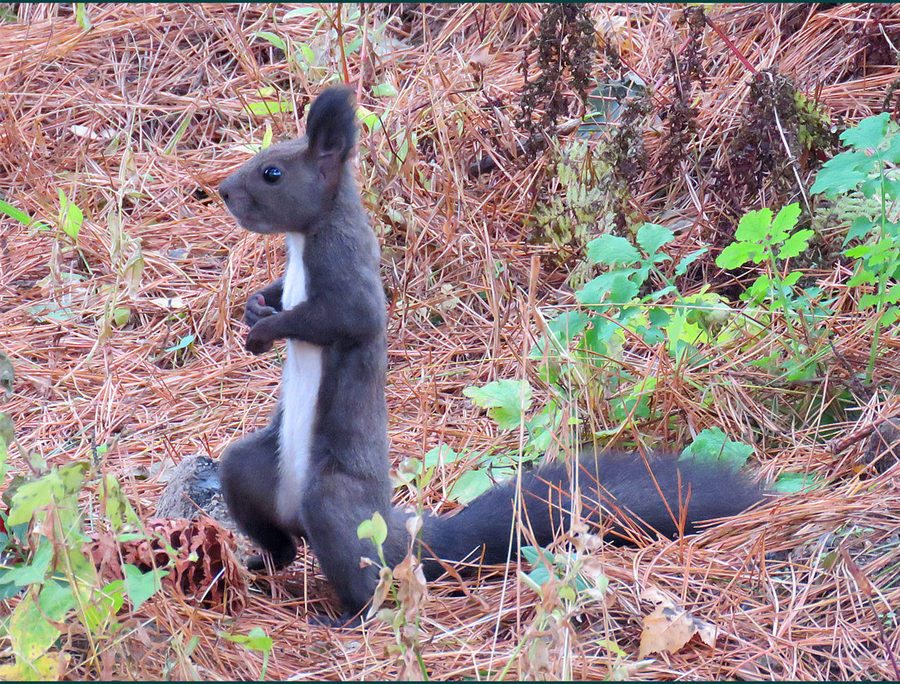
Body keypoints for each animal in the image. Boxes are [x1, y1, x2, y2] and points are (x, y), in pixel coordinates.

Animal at [216, 88, 760, 628]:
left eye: (272, 173)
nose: (222, 191)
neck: (305, 238)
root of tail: (397, 530)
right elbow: (279, 294)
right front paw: (254, 308)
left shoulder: (350, 271)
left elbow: (343, 317)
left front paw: (266, 328)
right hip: (251, 471)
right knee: (274, 527)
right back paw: (260, 562)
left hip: (333, 501)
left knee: (367, 578)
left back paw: (346, 617)